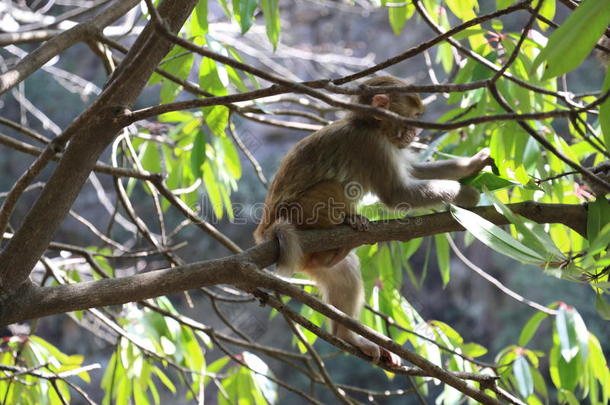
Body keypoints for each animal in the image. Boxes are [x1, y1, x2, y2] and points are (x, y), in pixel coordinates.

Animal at [253, 74, 494, 364]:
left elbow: (414, 171)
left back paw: (345, 327)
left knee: (344, 274)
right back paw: (347, 221)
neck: (369, 124)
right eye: (412, 119)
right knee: (333, 187)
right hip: (299, 211)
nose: (416, 134)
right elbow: (397, 193)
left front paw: (472, 164)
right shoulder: (372, 146)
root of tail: (265, 231)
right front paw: (466, 194)